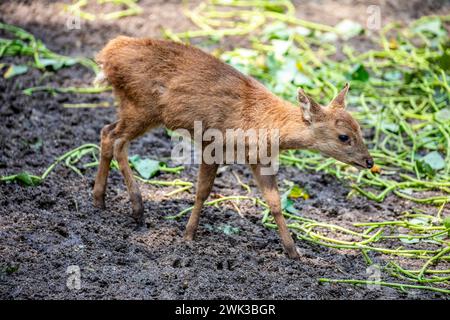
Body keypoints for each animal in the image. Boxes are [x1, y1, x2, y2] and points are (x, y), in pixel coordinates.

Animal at [92, 35, 372, 260]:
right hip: (141, 105)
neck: (268, 124)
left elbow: (275, 202)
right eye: (344, 137)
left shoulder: (259, 159)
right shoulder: (212, 144)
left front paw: (294, 252)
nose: (369, 161)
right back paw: (136, 208)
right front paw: (188, 235)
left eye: (360, 128)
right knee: (116, 139)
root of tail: (106, 54)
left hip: (134, 107)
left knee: (106, 132)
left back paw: (100, 200)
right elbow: (202, 191)